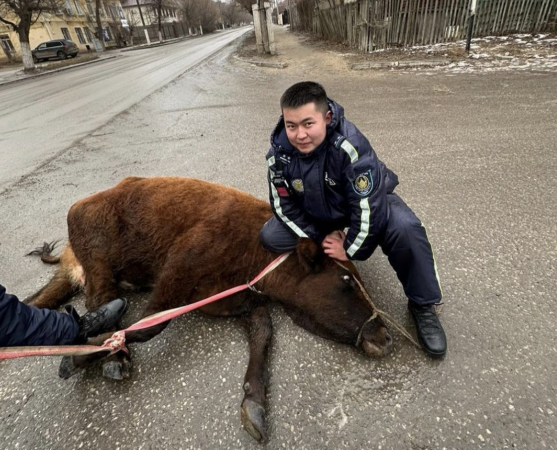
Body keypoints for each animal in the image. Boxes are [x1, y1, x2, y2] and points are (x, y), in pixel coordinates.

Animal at [25, 178, 390, 442]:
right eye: (346, 280)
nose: (385, 336)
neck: (256, 251)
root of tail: (80, 205)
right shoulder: (179, 268)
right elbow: (150, 324)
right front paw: (79, 356)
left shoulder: (238, 302)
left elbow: (263, 334)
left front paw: (254, 407)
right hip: (99, 261)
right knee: (100, 301)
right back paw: (115, 359)